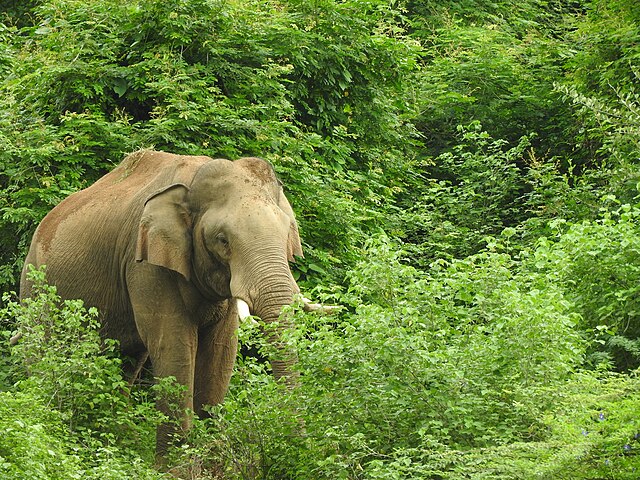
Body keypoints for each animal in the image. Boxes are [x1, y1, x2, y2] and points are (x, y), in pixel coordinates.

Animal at [20, 151, 308, 458]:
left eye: (287, 232)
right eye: (222, 240)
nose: (298, 445)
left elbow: (221, 349)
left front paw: (212, 455)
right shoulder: (145, 262)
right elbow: (174, 345)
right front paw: (178, 463)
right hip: (35, 288)